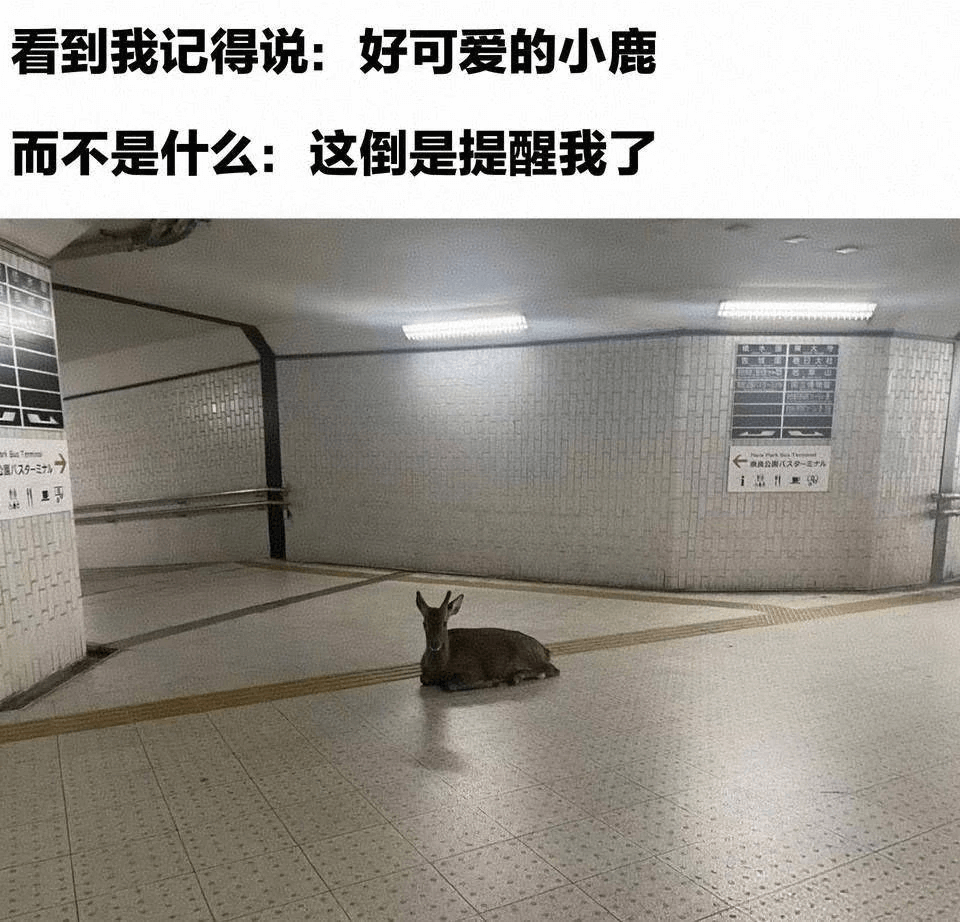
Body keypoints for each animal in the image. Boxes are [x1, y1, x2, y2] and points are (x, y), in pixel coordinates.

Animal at [417, 590, 559, 692]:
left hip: (528, 656)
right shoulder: (425, 675)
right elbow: (423, 679)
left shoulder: (473, 669)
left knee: (552, 670)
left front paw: (493, 681)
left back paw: (516, 677)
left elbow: (450, 684)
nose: (435, 644)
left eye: (444, 623)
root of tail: (544, 650)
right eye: (424, 623)